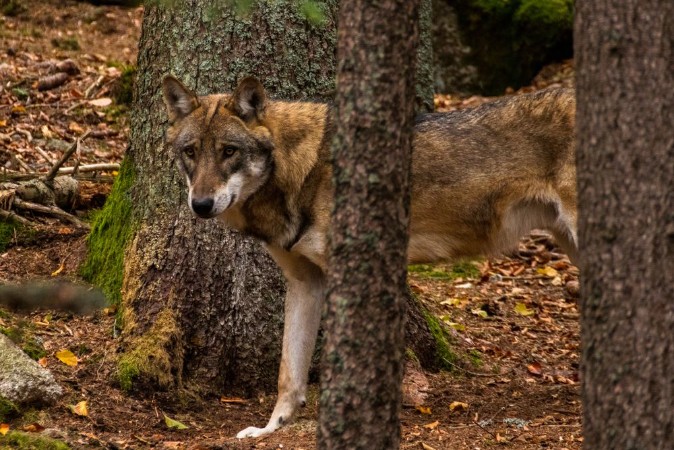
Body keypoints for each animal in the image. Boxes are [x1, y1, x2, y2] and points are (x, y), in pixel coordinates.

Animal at [161, 75, 577, 438]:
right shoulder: (305, 283)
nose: (200, 205)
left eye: (229, 152)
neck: (301, 170)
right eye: (191, 152)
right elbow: (288, 373)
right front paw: (269, 429)